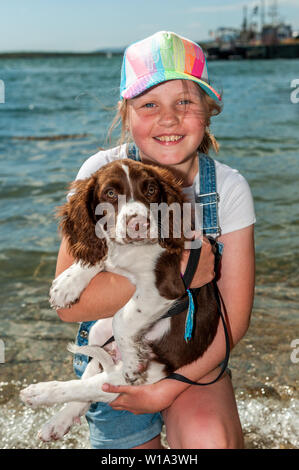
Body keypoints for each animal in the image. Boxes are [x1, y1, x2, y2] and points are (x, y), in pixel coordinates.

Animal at [19, 158, 220, 440]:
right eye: (111, 193)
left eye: (151, 190)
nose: (139, 225)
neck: (131, 250)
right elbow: (101, 253)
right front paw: (67, 283)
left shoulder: (166, 285)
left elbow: (122, 319)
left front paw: (133, 359)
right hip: (98, 334)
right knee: (91, 376)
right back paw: (59, 421)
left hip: (139, 376)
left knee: (95, 385)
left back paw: (41, 392)